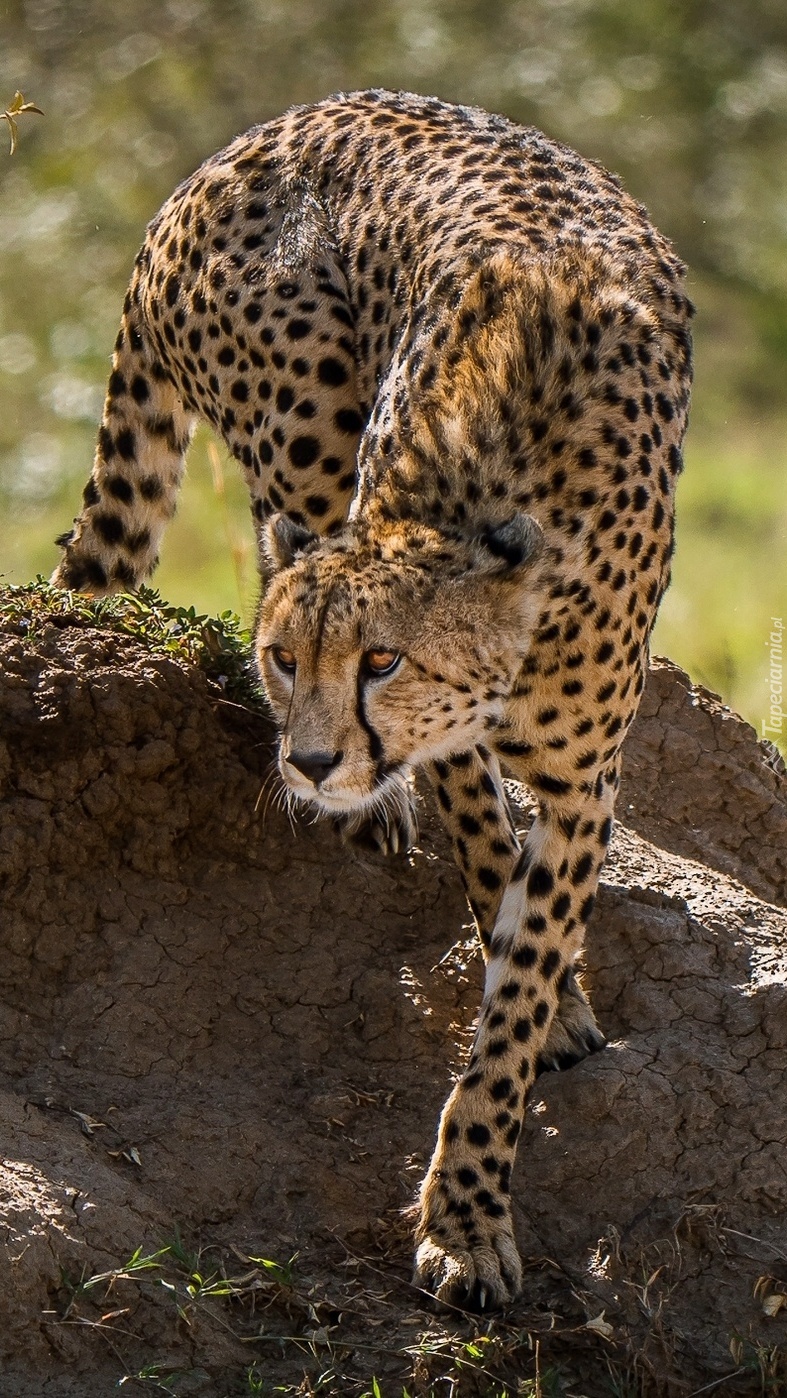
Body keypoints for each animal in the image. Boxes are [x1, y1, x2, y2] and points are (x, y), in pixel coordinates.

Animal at [53, 90, 696, 1308]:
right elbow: (484, 840)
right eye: (279, 661)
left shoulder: (585, 780)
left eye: (382, 662)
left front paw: (471, 1200)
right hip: (303, 413)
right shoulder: (463, 745)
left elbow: (520, 981)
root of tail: (243, 143)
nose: (308, 764)